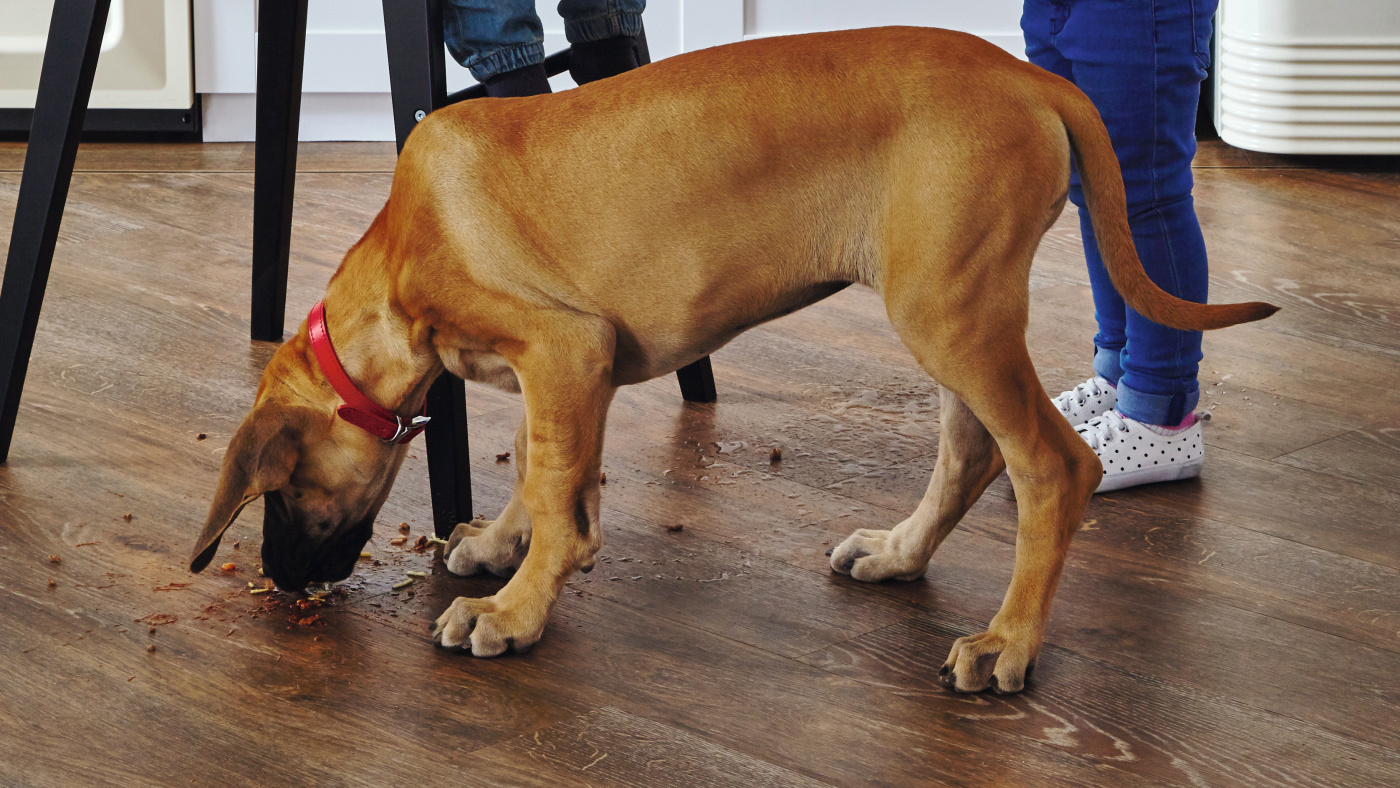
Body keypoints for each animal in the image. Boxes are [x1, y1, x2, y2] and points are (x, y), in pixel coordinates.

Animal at [191, 27, 1276, 694]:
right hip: (951, 307)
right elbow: (550, 467)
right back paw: (898, 553)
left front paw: (512, 607)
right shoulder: (573, 367)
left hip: (948, 313)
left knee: (1051, 465)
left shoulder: (564, 345)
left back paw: (1006, 646)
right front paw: (507, 548)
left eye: (281, 490)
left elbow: (550, 478)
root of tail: (1031, 77)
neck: (401, 257)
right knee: (971, 450)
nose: (283, 581)